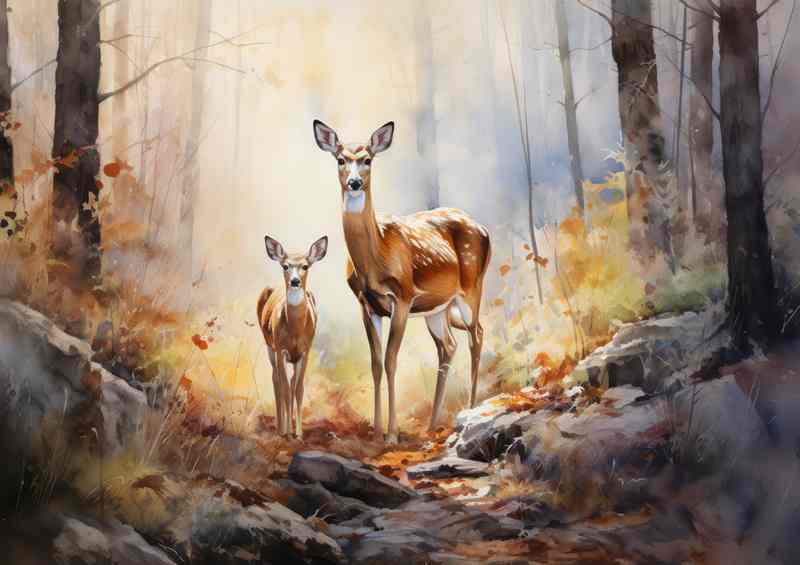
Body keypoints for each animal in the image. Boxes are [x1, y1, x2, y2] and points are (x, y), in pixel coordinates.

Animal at [257, 234, 328, 438]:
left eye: (305, 266)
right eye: (285, 266)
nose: (295, 281)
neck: (295, 331)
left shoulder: (305, 351)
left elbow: (298, 389)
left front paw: (299, 433)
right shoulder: (281, 349)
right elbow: (286, 389)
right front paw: (288, 432)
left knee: (288, 382)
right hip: (269, 345)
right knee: (276, 381)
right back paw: (280, 428)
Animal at [313, 120, 491, 443]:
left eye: (368, 159)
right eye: (341, 159)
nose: (354, 183)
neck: (375, 258)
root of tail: (483, 228)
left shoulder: (404, 297)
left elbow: (390, 360)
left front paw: (392, 434)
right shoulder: (366, 304)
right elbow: (374, 363)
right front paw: (376, 431)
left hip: (472, 288)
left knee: (477, 336)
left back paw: (471, 409)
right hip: (437, 308)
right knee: (449, 345)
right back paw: (433, 425)